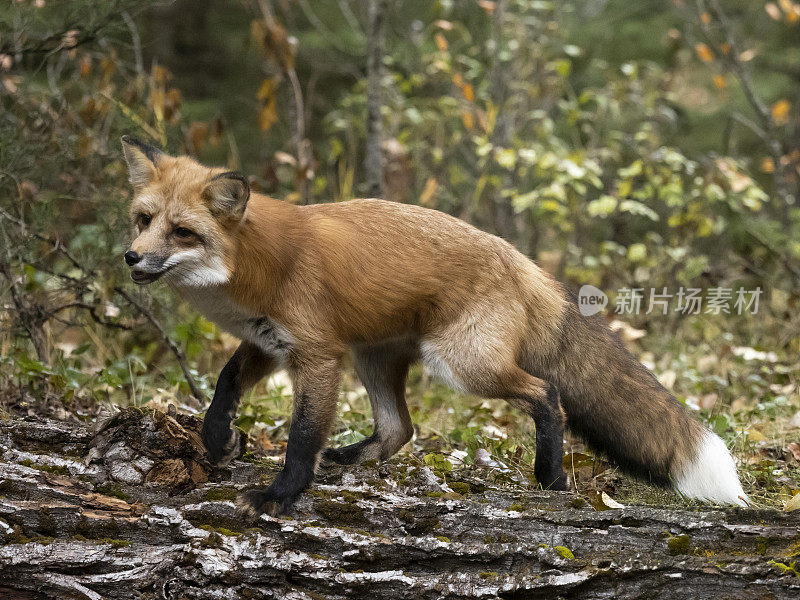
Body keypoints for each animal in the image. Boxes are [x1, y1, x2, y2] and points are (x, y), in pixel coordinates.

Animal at [120, 136, 752, 516]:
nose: (130, 257)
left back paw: (551, 478)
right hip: (376, 358)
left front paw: (279, 496)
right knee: (400, 429)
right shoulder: (268, 341)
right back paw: (348, 459)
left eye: (182, 232)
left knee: (546, 394)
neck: (258, 266)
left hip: (461, 365)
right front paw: (217, 439)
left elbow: (301, 438)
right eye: (143, 220)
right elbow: (225, 386)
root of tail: (520, 259)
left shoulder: (316, 353)